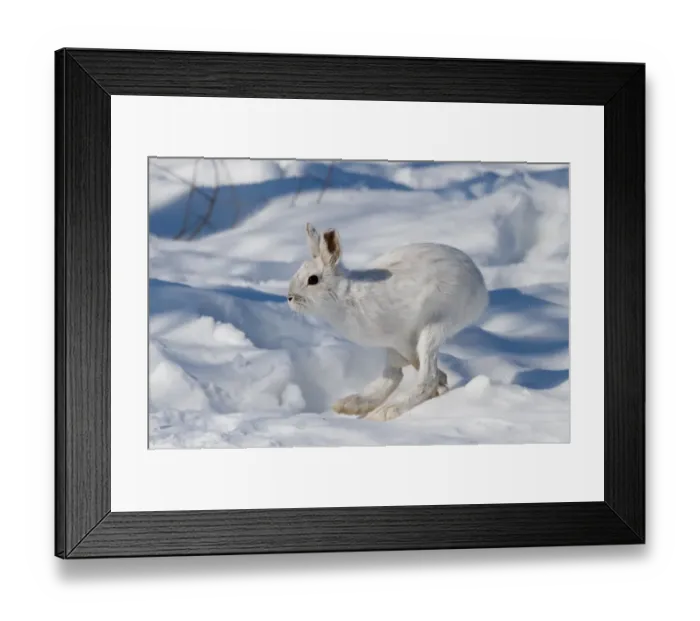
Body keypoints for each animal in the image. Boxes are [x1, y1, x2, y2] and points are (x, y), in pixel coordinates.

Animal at [287, 223, 489, 422]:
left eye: (313, 279)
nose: (289, 297)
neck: (344, 295)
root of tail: (480, 284)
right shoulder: (393, 344)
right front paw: (442, 383)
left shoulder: (402, 338)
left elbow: (415, 364)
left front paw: (441, 384)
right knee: (393, 376)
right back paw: (352, 404)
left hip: (435, 326)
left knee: (424, 377)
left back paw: (386, 411)